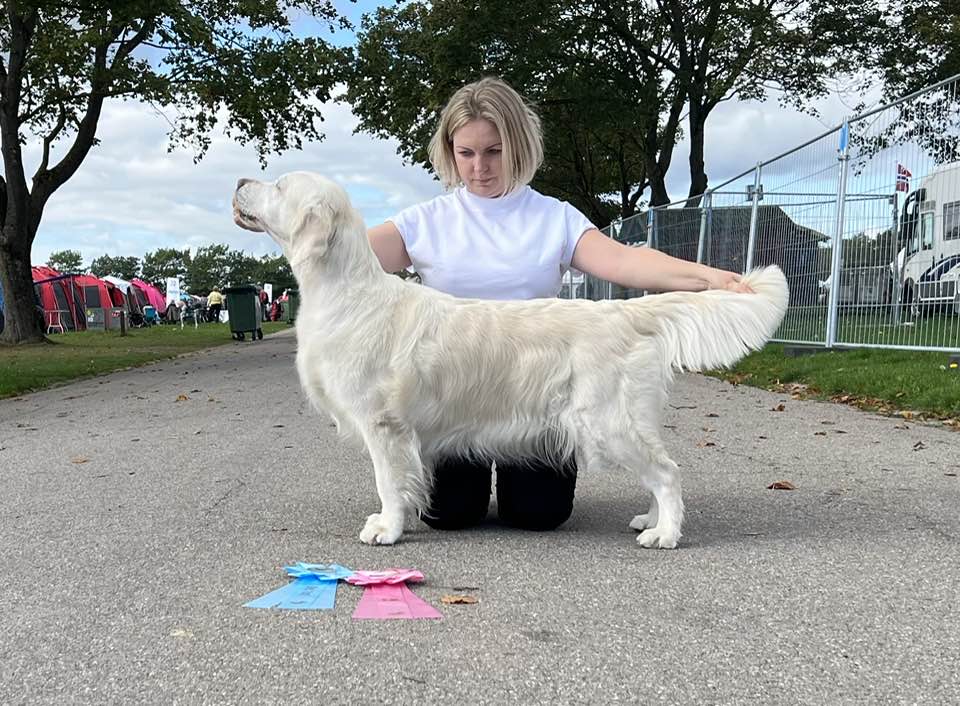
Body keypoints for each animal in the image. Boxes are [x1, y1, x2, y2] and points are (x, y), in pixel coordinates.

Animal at [233, 172, 789, 549]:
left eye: (278, 185)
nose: (238, 180)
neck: (346, 290)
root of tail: (624, 312)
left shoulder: (383, 423)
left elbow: (388, 482)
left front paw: (387, 529)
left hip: (607, 422)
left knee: (667, 474)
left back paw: (665, 534)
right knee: (657, 475)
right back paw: (649, 520)